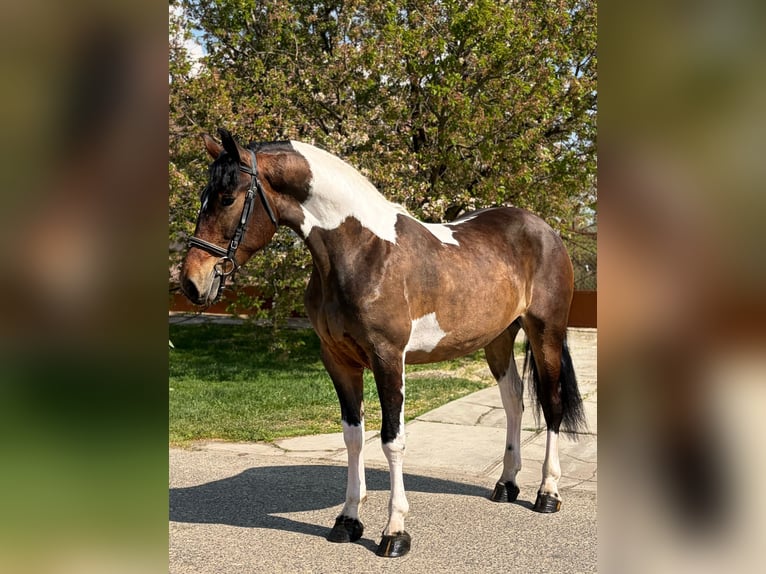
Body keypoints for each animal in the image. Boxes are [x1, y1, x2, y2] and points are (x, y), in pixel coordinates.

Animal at [179, 128, 586, 558]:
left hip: (546, 332)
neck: (362, 251)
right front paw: (347, 521)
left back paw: (548, 493)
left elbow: (392, 440)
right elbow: (354, 437)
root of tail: (544, 229)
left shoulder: (389, 358)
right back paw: (506, 485)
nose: (191, 281)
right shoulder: (338, 360)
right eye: (204, 195)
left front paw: (394, 531)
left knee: (552, 405)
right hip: (498, 339)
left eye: (227, 197)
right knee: (513, 402)